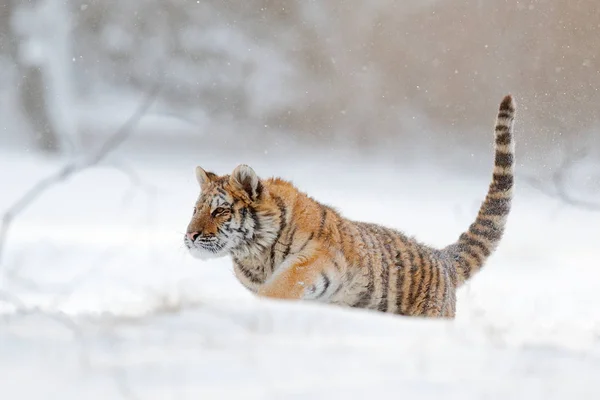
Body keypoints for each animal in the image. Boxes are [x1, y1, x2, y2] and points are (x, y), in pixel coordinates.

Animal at [184, 95, 516, 318]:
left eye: (220, 211)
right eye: (196, 210)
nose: (190, 236)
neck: (252, 253)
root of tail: (441, 258)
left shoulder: (317, 257)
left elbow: (284, 283)